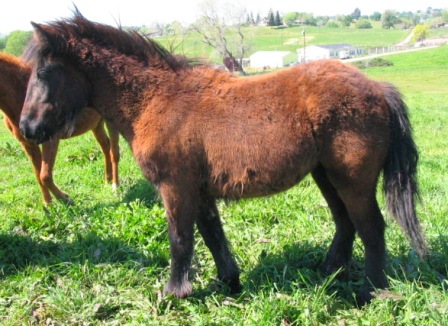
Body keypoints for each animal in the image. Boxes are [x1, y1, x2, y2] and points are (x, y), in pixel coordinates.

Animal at [0, 51, 121, 204]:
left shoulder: (50, 140)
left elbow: (45, 175)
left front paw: (65, 199)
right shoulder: (28, 144)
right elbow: (38, 174)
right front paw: (48, 203)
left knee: (114, 151)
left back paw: (115, 186)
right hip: (96, 124)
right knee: (106, 147)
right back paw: (107, 179)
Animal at [19, 12, 428, 304]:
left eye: (44, 72)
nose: (27, 128)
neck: (156, 99)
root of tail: (378, 88)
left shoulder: (175, 188)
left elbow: (181, 238)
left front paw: (172, 294)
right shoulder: (198, 190)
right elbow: (212, 235)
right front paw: (229, 282)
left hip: (351, 179)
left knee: (371, 227)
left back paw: (370, 292)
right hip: (325, 175)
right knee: (345, 223)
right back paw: (328, 273)